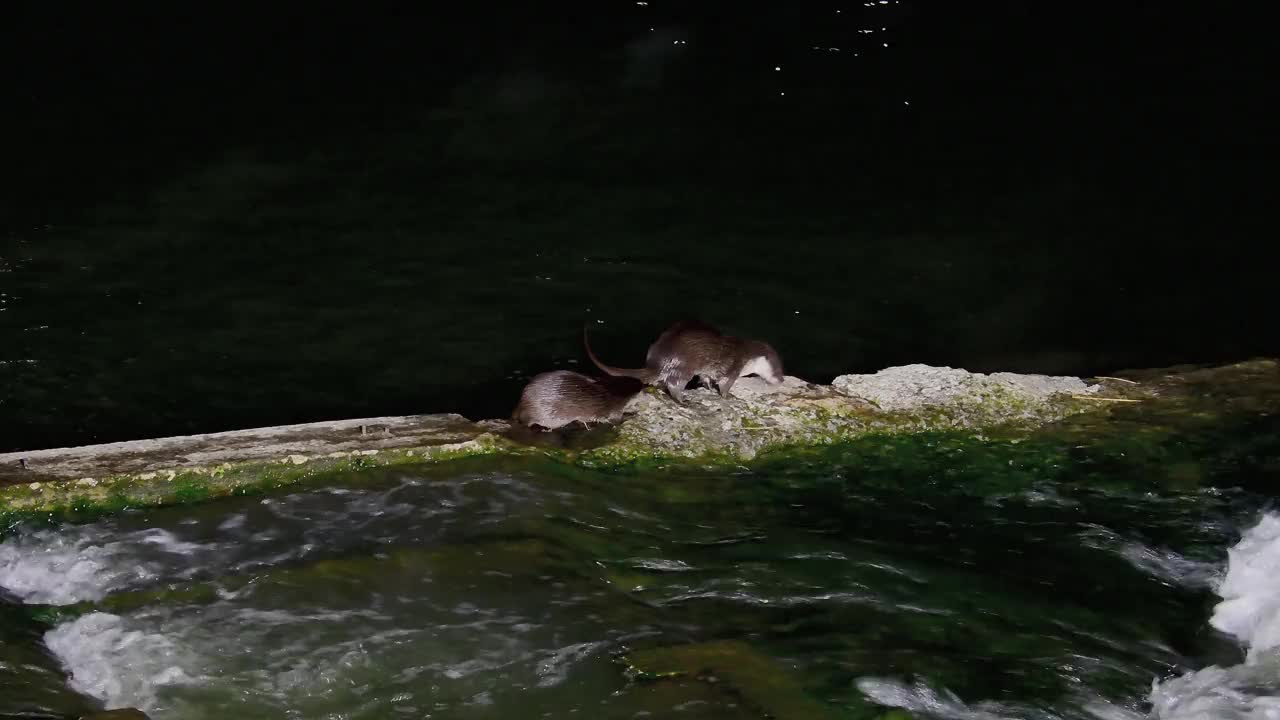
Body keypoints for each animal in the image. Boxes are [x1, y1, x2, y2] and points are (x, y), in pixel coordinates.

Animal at [581, 320, 778, 404]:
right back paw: (683, 401)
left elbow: (706, 378)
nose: (781, 379)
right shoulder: (733, 367)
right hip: (684, 368)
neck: (747, 357)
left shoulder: (708, 370)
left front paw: (708, 388)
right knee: (674, 385)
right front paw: (729, 397)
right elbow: (724, 385)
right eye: (778, 370)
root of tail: (658, 360)